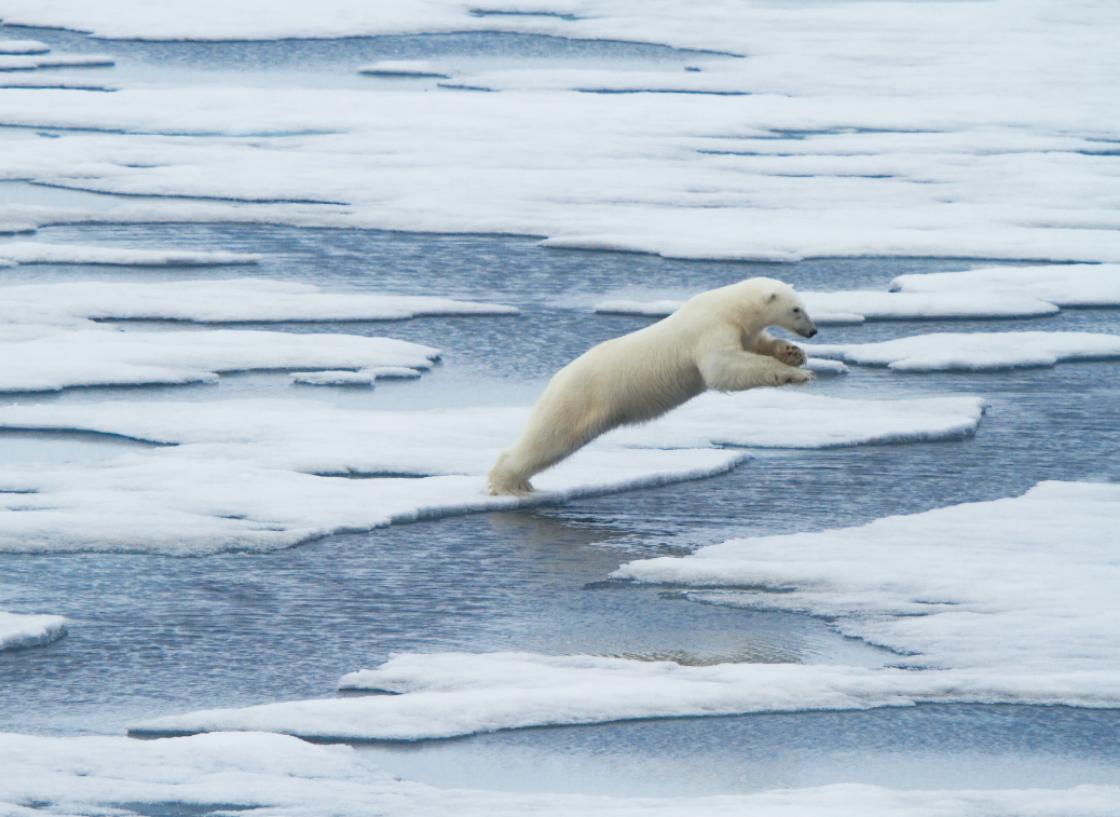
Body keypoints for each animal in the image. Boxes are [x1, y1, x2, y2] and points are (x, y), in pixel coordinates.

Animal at [486, 276, 819, 493]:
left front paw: (794, 354)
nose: (813, 331)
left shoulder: (743, 330)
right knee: (548, 439)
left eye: (804, 306)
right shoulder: (710, 329)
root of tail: (554, 380)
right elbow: (723, 369)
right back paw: (509, 484)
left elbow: (758, 345)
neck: (729, 307)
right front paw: (798, 374)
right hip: (578, 400)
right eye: (796, 310)